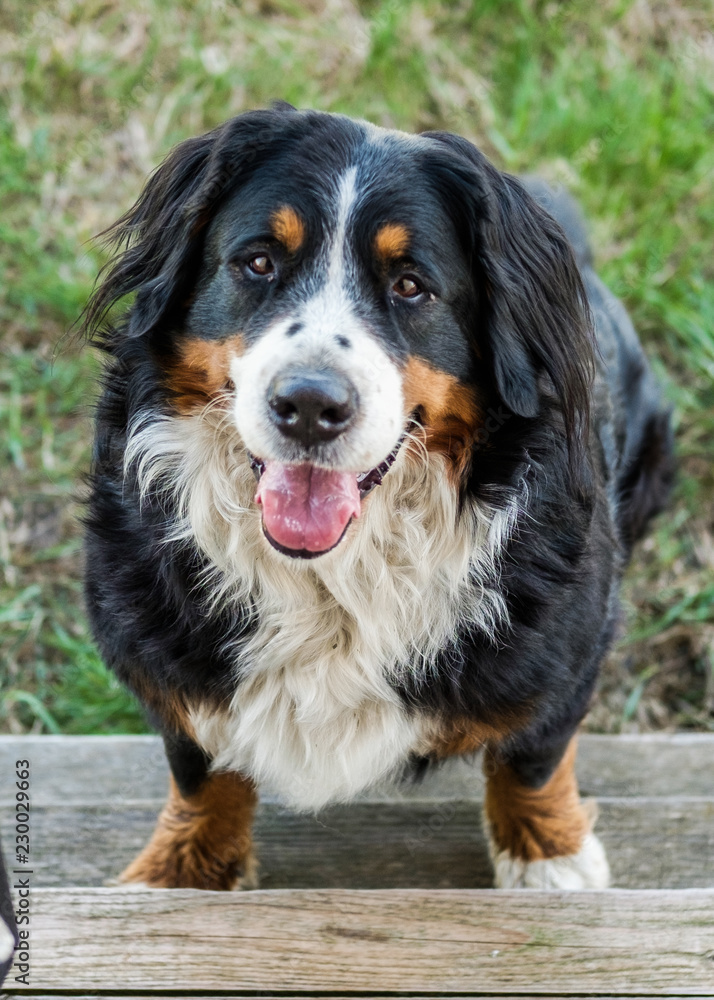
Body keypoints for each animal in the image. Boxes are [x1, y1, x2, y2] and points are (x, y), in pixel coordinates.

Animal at [80, 105, 672, 892]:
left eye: (412, 285)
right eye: (259, 262)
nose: (308, 404)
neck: (334, 579)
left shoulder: (571, 644)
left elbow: (533, 755)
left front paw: (549, 859)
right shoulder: (161, 647)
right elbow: (199, 763)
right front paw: (185, 868)